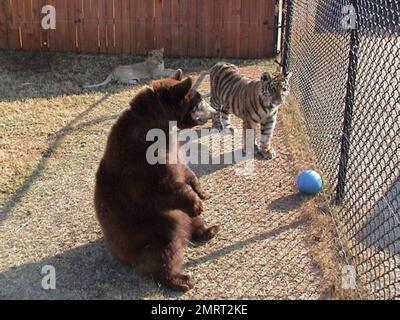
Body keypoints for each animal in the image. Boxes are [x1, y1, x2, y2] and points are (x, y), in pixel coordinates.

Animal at [94, 70, 219, 292]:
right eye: (199, 101)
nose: (214, 111)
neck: (159, 127)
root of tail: (121, 254)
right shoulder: (139, 162)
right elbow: (156, 191)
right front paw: (195, 202)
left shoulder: (173, 151)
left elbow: (185, 171)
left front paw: (201, 191)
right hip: (153, 229)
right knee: (165, 251)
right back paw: (180, 279)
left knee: (189, 223)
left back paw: (207, 229)